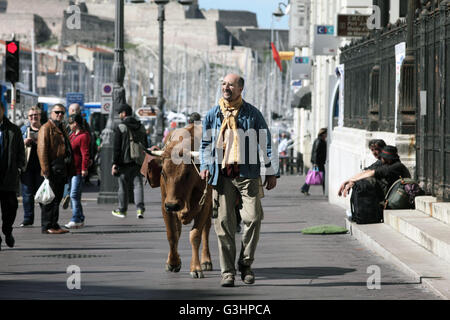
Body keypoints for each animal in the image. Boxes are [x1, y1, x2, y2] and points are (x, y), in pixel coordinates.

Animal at [144, 124, 214, 278]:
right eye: (163, 173)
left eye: (186, 174)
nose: (172, 204)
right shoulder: (165, 206)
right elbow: (172, 234)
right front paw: (173, 262)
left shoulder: (204, 205)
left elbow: (195, 235)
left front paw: (196, 268)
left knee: (206, 229)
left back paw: (206, 260)